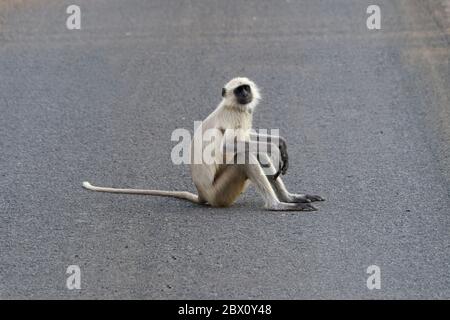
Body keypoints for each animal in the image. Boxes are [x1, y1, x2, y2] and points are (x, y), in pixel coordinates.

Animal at [82, 77, 324, 211]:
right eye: (239, 90)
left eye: (246, 88)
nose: (246, 93)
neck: (234, 105)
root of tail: (202, 194)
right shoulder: (233, 115)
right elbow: (229, 146)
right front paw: (277, 147)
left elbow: (247, 141)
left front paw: (280, 144)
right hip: (221, 193)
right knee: (245, 155)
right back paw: (277, 205)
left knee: (251, 151)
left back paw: (289, 198)